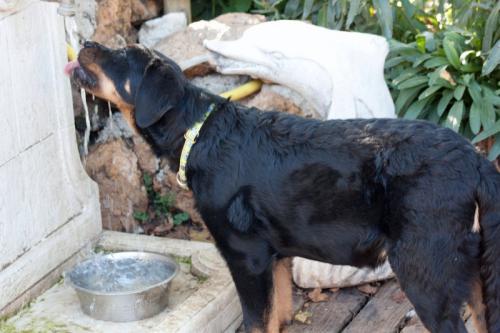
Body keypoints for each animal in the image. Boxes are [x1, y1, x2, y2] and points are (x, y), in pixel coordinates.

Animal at [69, 41, 500, 332]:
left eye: (121, 57)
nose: (86, 43)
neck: (199, 133)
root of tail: (475, 159)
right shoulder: (274, 259)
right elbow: (276, 317)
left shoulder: (247, 257)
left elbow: (256, 321)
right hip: (471, 265)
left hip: (424, 268)